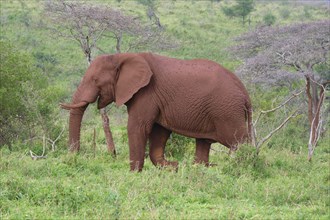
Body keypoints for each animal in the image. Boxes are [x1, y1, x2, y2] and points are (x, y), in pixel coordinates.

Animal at [61, 52, 253, 171]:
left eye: (95, 80)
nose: (73, 156)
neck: (121, 56)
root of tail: (245, 94)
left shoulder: (146, 93)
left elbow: (138, 127)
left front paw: (134, 174)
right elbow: (159, 132)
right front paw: (173, 167)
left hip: (227, 111)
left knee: (239, 143)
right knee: (204, 143)